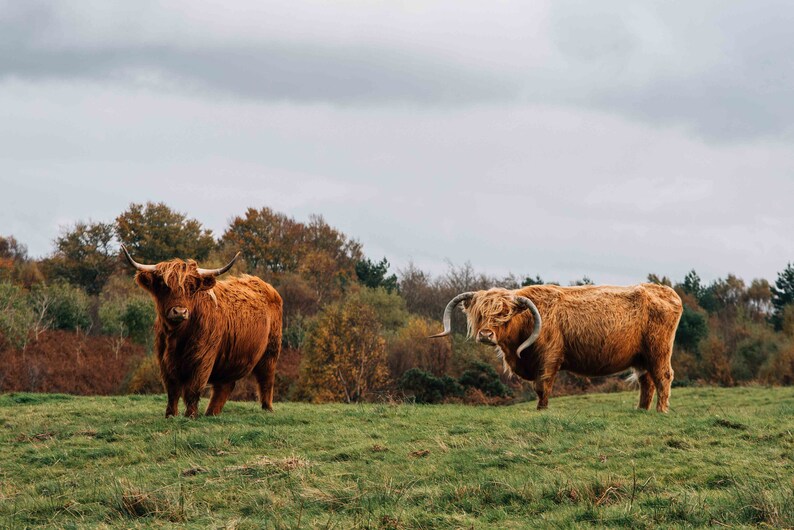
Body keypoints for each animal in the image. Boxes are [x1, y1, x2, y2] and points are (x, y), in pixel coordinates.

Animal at [121, 245, 282, 418]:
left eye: (191, 288)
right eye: (165, 286)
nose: (179, 312)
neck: (177, 338)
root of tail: (264, 285)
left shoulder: (203, 357)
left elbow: (194, 387)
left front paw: (190, 415)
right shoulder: (164, 360)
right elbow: (172, 390)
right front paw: (170, 414)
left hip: (271, 351)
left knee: (266, 378)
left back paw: (267, 408)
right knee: (225, 385)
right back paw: (212, 412)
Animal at [431, 283, 683, 412]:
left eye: (505, 314)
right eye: (480, 314)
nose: (485, 334)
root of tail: (666, 291)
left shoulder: (549, 357)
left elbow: (542, 386)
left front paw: (541, 409)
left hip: (658, 351)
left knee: (663, 376)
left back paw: (661, 410)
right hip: (641, 357)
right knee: (646, 381)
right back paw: (641, 409)